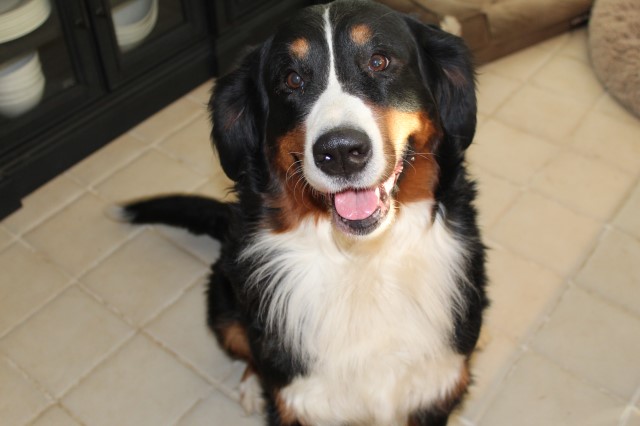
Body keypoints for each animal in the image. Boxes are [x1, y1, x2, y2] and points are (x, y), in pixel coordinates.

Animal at [112, 1, 488, 424]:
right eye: (292, 80)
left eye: (379, 61)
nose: (340, 152)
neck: (361, 265)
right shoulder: (300, 397)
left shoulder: (435, 385)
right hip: (224, 305)